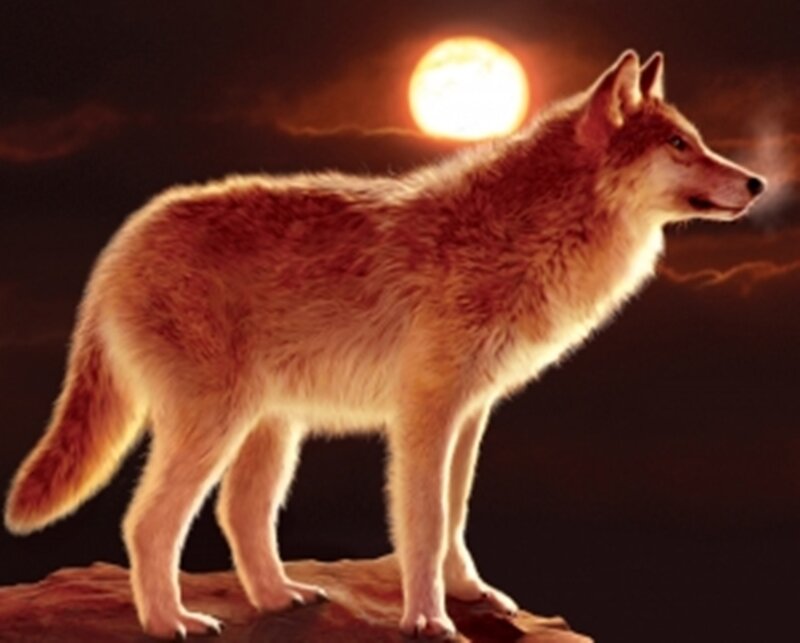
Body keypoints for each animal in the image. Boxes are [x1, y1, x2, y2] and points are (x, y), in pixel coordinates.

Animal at [5, 50, 765, 639]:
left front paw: (469, 594)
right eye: (678, 146)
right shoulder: (425, 413)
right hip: (215, 425)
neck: (523, 232)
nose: (758, 182)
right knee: (148, 523)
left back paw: (278, 598)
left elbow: (456, 514)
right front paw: (428, 619)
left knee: (240, 513)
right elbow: (424, 522)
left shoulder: (471, 413)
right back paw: (172, 623)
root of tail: (121, 245)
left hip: (270, 428)